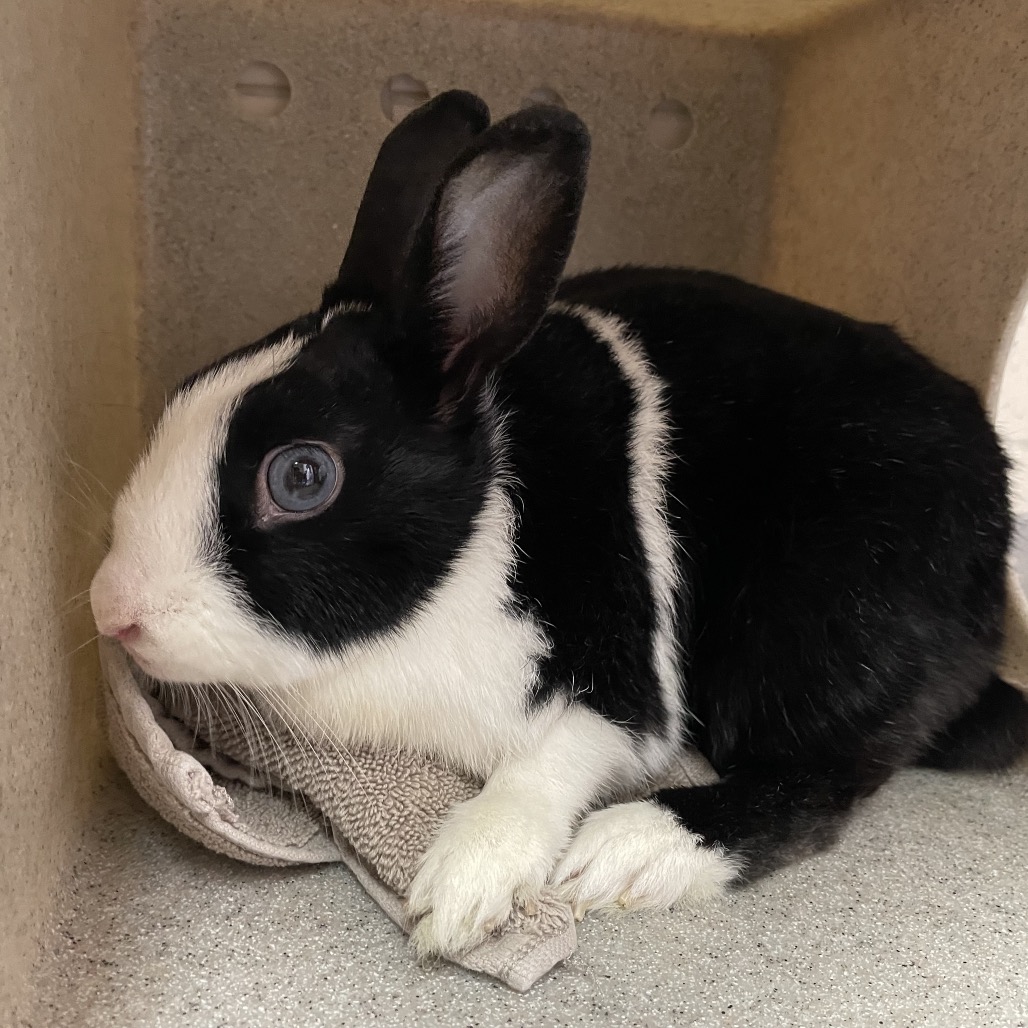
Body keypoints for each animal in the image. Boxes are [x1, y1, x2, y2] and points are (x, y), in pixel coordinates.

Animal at [91, 90, 1027, 959]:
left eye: (301, 476)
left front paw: (462, 889)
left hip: (823, 624)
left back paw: (633, 850)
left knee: (819, 784)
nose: (110, 609)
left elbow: (550, 761)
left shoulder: (619, 688)